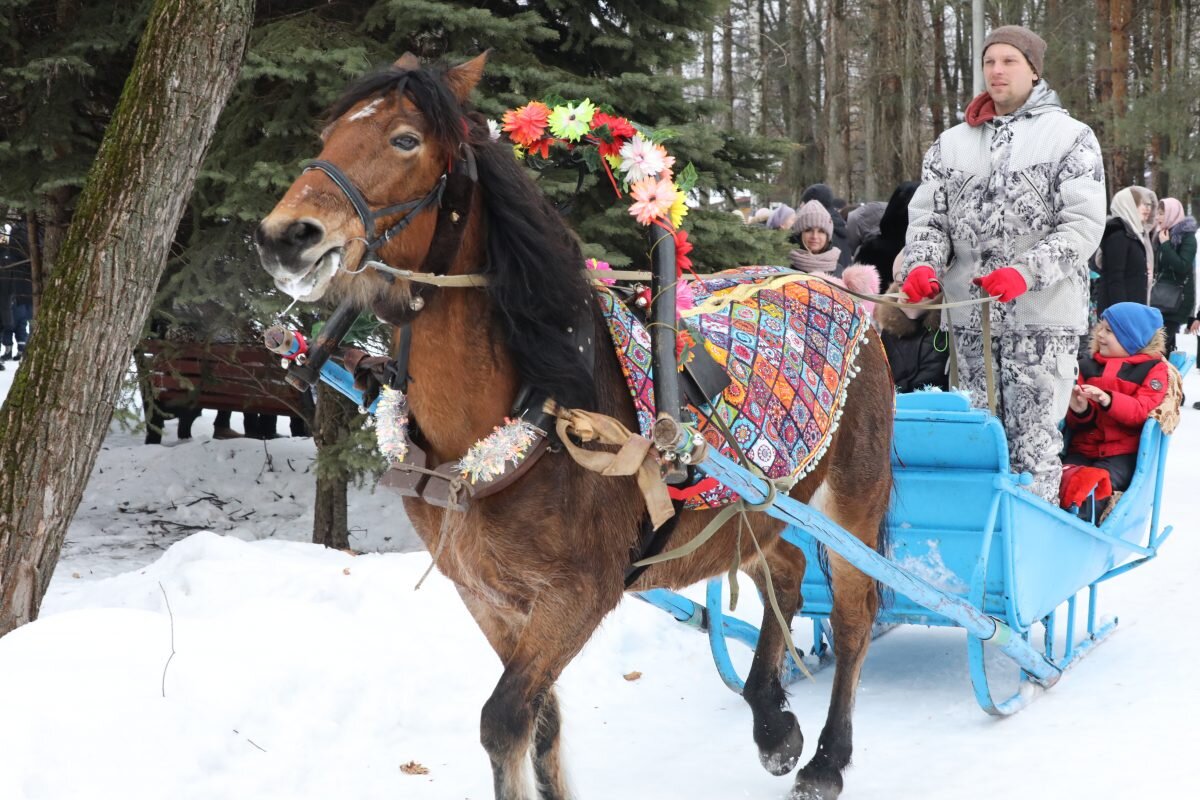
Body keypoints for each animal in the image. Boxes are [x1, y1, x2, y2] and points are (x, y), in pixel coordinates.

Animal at [258, 53, 897, 796]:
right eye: (326, 133)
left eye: (404, 140)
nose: (283, 236)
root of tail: (838, 288)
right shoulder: (486, 597)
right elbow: (542, 723)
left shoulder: (577, 596)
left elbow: (506, 718)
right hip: (752, 512)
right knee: (787, 571)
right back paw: (772, 721)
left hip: (854, 494)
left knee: (853, 613)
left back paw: (827, 757)